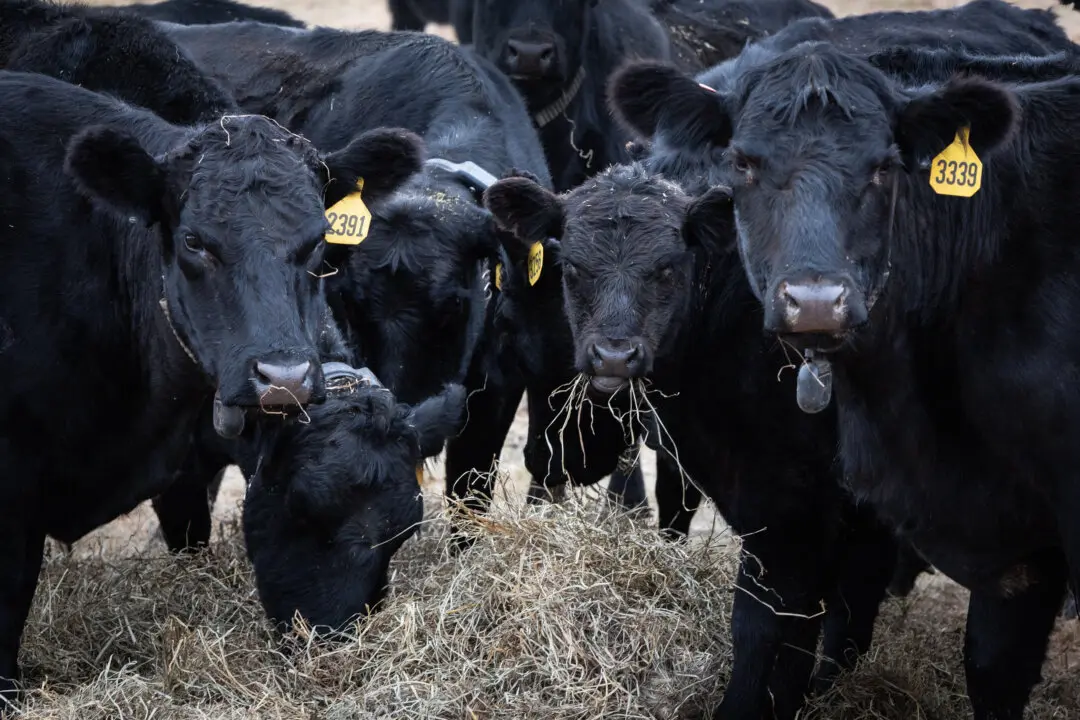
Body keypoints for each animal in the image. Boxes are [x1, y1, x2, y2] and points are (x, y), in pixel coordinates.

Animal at [607, 33, 1080, 719]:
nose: (815, 301)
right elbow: (988, 667)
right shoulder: (1012, 547)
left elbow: (774, 630)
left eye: (885, 166)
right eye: (742, 163)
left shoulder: (799, 505)